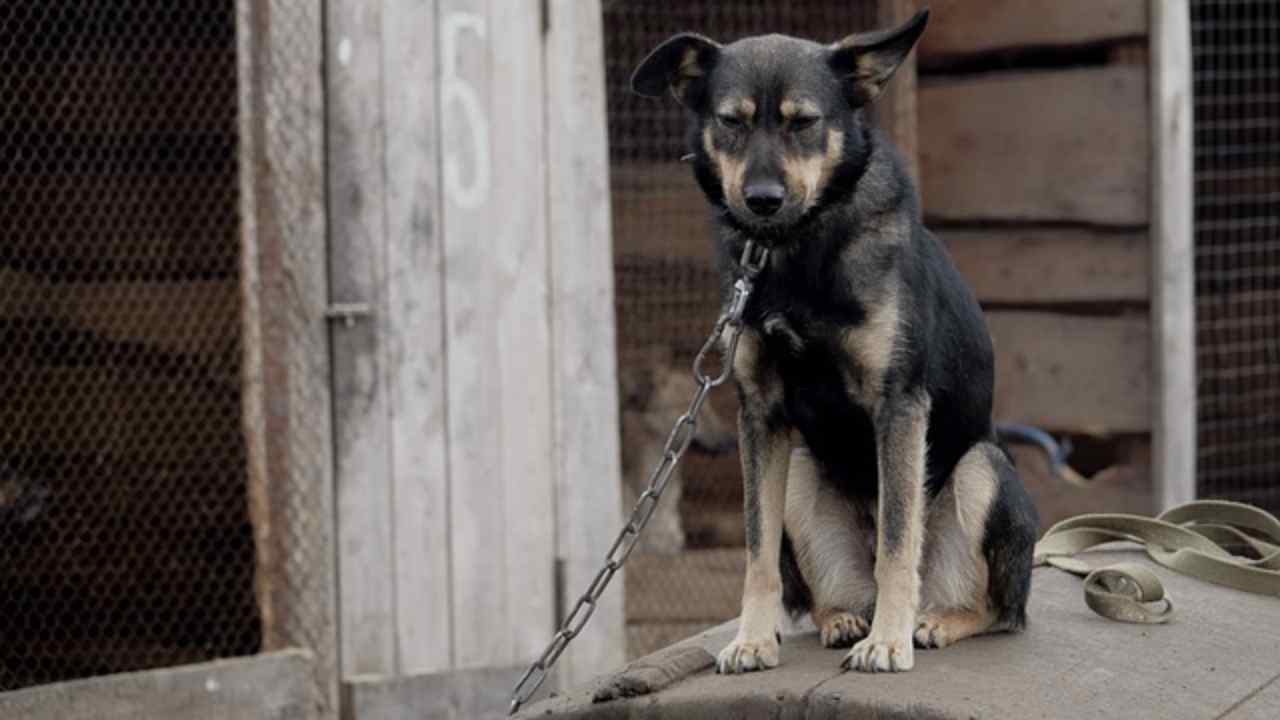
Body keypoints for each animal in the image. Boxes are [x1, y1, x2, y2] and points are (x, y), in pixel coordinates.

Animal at [629, 8, 1039, 671]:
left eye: (804, 123)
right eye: (731, 122)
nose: (762, 200)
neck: (795, 254)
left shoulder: (899, 405)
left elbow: (897, 541)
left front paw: (890, 642)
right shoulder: (760, 415)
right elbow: (756, 550)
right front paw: (751, 638)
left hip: (984, 469)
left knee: (996, 608)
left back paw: (931, 622)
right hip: (799, 472)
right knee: (826, 594)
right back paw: (845, 618)